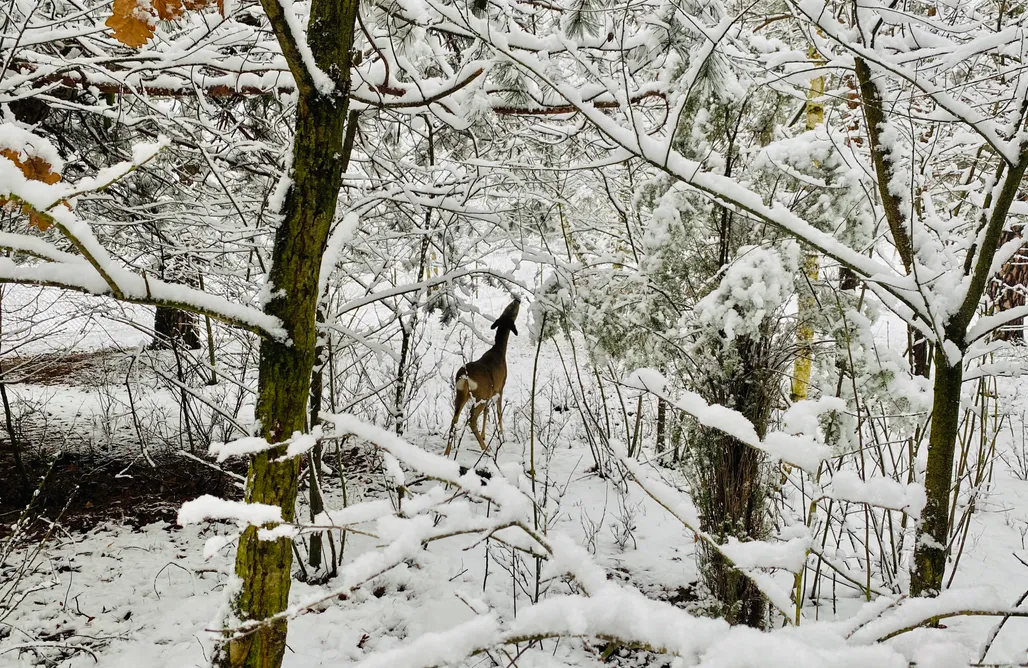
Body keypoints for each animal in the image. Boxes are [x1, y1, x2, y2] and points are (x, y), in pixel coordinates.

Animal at [444, 300, 522, 454]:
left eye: (507, 308)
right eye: (512, 309)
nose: (517, 300)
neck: (499, 351)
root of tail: (465, 376)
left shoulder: (491, 392)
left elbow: (487, 412)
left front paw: (484, 434)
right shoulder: (500, 387)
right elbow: (499, 412)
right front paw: (501, 435)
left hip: (462, 394)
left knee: (454, 419)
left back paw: (447, 452)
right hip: (481, 395)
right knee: (471, 420)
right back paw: (486, 448)